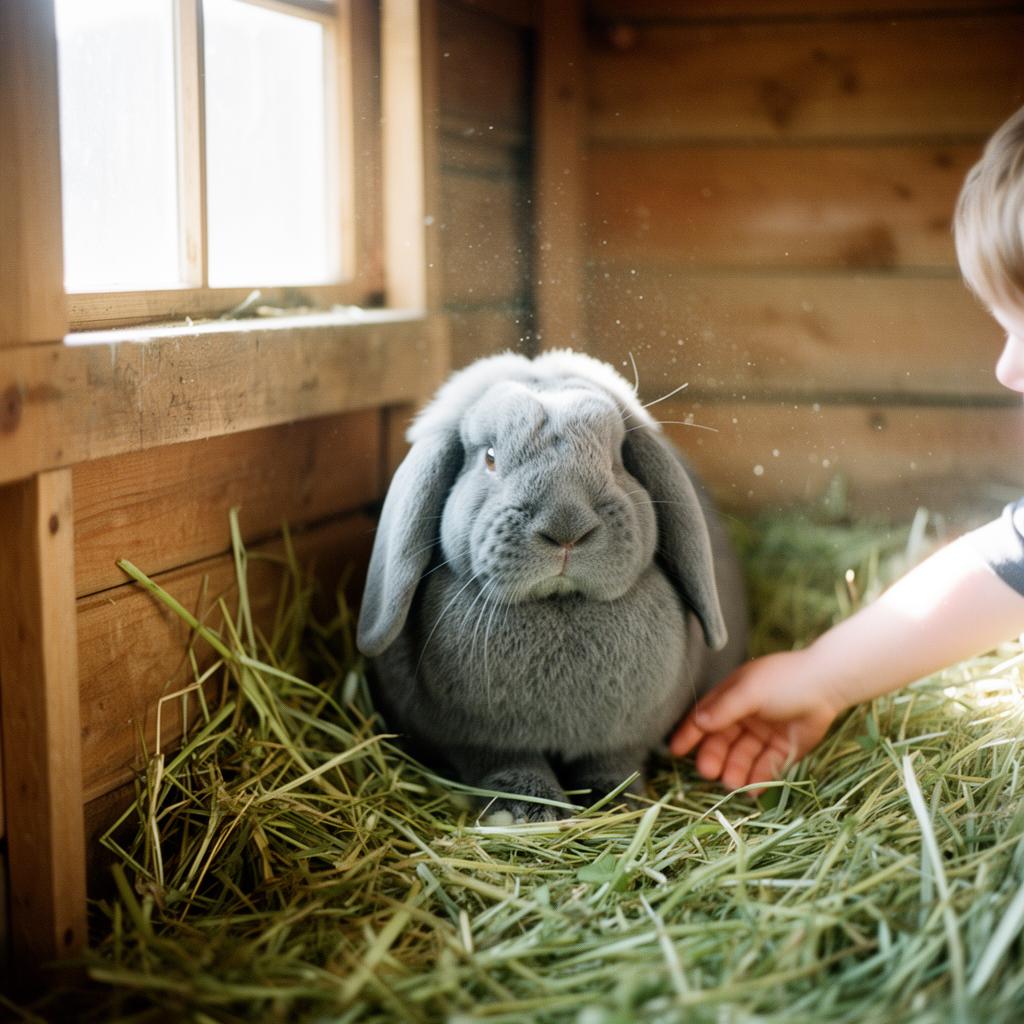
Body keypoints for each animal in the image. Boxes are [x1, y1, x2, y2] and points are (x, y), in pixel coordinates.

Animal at [357, 349, 747, 823]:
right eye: (490, 458)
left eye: (616, 460)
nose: (567, 527)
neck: (560, 605)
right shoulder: (482, 743)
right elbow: (506, 764)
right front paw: (525, 810)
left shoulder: (622, 740)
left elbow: (612, 763)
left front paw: (614, 799)